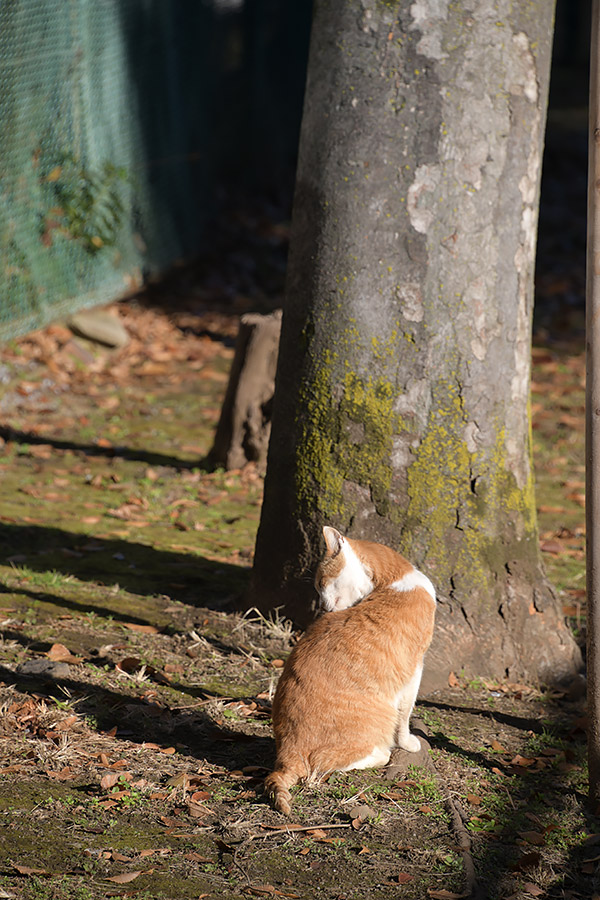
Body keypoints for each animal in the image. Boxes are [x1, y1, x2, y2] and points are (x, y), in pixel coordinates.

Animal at [264, 528, 434, 816]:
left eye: (320, 582)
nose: (321, 605)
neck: (391, 582)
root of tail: (285, 756)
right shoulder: (415, 670)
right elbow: (405, 715)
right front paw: (408, 743)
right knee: (322, 764)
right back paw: (382, 753)